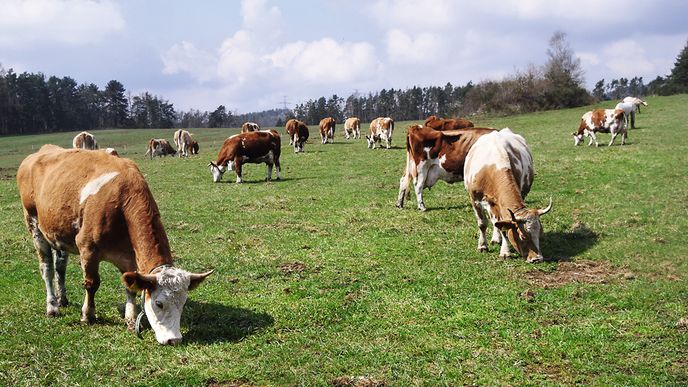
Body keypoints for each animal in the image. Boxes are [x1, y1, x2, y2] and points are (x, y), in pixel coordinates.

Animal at [16, 146, 212, 346]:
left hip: (58, 232)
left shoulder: (129, 258)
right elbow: (91, 284)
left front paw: (131, 319)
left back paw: (61, 298)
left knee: (60, 267)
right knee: (47, 268)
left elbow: (130, 287)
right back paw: (52, 306)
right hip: (34, 224)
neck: (121, 202)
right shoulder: (87, 248)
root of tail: (42, 151)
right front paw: (88, 315)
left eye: (183, 303)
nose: (174, 339)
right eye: (159, 303)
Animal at [462, 130, 552, 264]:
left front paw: (504, 251)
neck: (494, 167)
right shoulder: (475, 200)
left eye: (540, 233)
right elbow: (483, 224)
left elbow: (502, 226)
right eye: (522, 236)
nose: (537, 259)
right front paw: (483, 246)